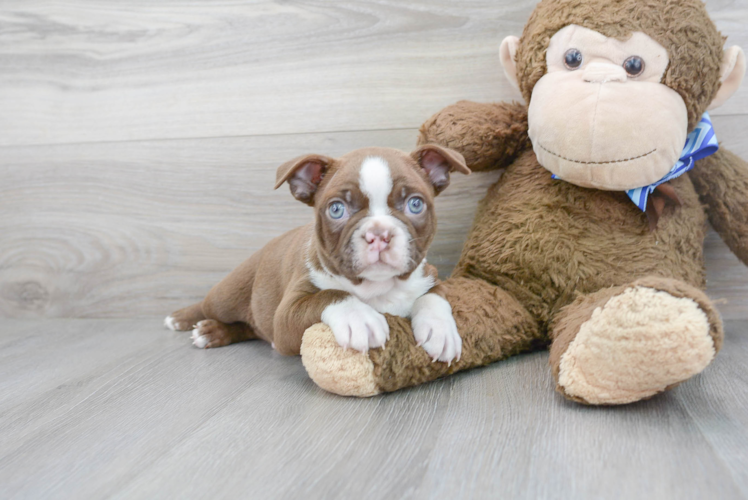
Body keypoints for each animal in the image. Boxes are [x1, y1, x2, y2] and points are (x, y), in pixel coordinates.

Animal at [165, 146, 468, 362]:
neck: (377, 287)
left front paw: (441, 330)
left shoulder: (429, 275)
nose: (379, 234)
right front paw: (360, 318)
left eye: (415, 204)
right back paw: (185, 320)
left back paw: (213, 332)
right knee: (211, 306)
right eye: (336, 209)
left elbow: (434, 296)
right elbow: (329, 294)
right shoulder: (286, 317)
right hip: (228, 294)